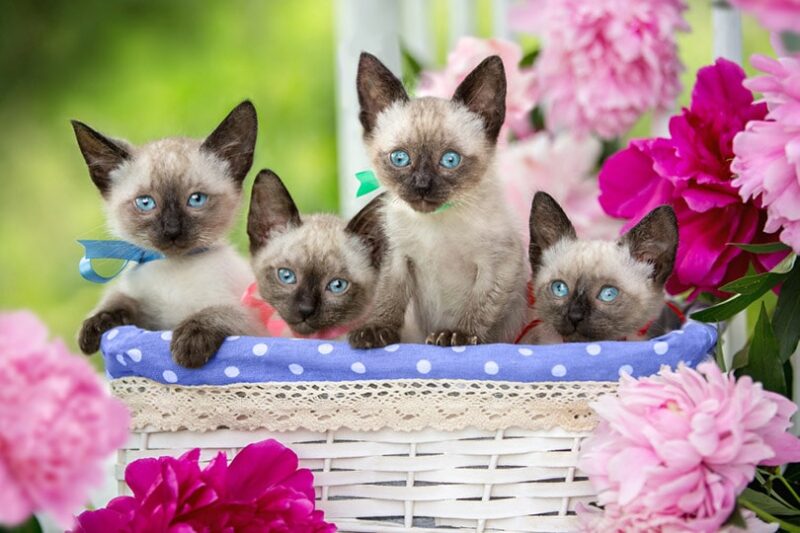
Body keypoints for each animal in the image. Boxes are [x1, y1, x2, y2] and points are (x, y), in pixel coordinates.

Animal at [72, 101, 262, 366]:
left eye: (196, 199)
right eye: (145, 203)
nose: (172, 231)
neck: (172, 269)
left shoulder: (253, 320)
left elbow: (219, 312)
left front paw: (188, 343)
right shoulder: (146, 315)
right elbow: (118, 300)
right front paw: (94, 326)